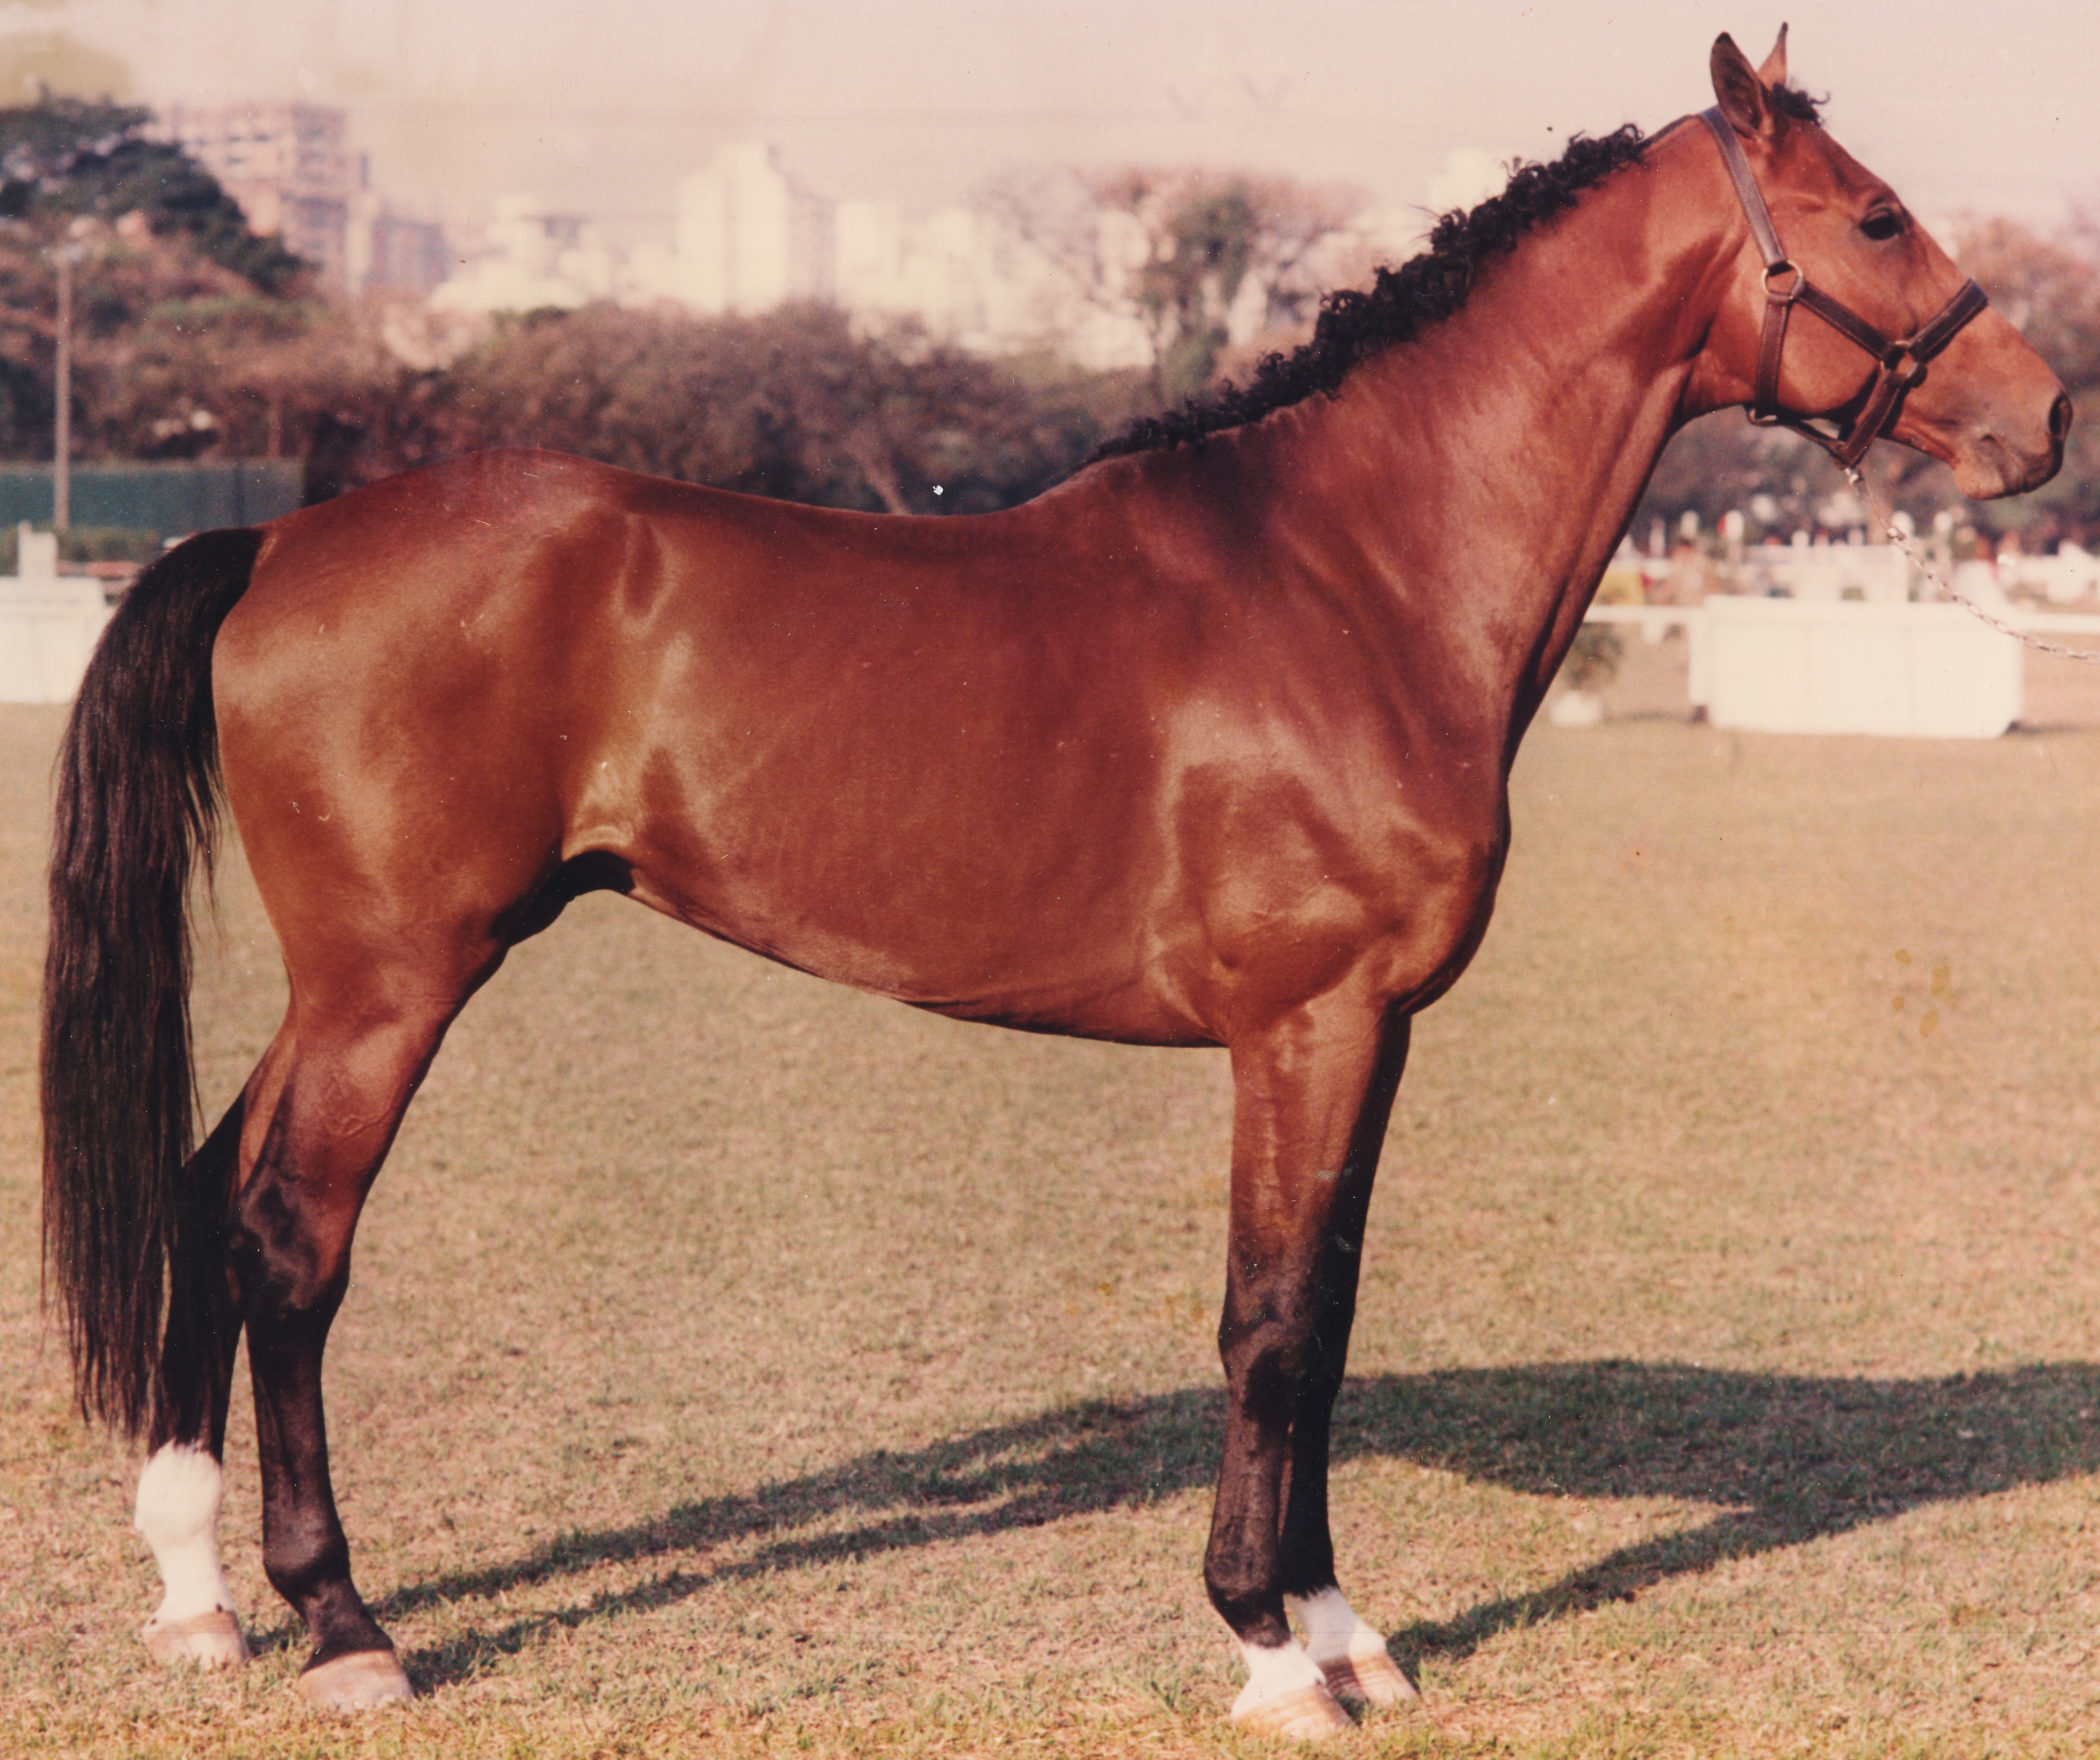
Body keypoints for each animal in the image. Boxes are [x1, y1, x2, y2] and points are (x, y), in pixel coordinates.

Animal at [37, 34, 2066, 1747]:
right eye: (1872, 215)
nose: (2041, 416)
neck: (1349, 575)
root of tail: (277, 538)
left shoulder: (1369, 1035)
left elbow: (1324, 1310)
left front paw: (1340, 1630)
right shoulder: (1302, 1026)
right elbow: (1271, 1321)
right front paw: (1269, 1650)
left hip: (351, 983)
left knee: (208, 1187)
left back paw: (199, 1594)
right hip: (396, 980)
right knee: (289, 1239)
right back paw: (344, 1626)